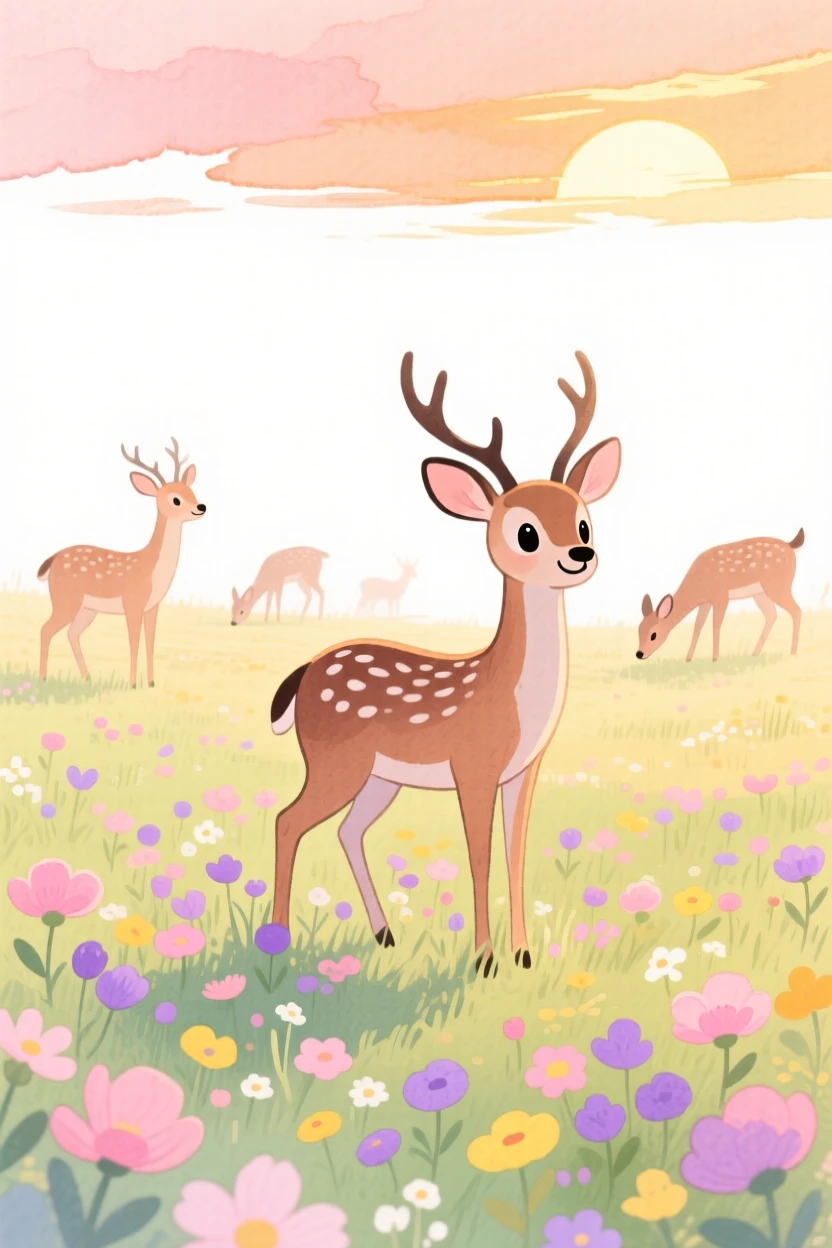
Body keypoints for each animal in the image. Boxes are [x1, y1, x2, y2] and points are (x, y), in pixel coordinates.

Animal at [37, 439, 205, 688]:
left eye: (191, 491)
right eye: (176, 499)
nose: (201, 507)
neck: (151, 569)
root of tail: (52, 560)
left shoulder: (152, 606)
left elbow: (150, 640)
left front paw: (151, 683)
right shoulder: (132, 602)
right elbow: (134, 641)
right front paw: (133, 684)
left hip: (86, 608)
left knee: (72, 633)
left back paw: (87, 677)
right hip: (65, 599)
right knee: (45, 629)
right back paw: (43, 678)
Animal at [268, 349, 621, 976]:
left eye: (584, 520)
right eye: (526, 532)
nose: (581, 553)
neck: (511, 697)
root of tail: (303, 674)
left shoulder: (525, 769)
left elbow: (515, 852)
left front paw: (524, 954)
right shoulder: (473, 765)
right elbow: (479, 855)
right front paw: (484, 960)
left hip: (379, 776)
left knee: (347, 831)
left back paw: (384, 933)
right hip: (334, 760)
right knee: (289, 820)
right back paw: (279, 940)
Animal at [637, 530, 804, 663]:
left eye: (653, 635)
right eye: (639, 630)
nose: (639, 653)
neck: (698, 585)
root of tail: (790, 546)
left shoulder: (720, 596)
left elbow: (715, 625)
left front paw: (715, 657)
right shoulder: (705, 602)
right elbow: (698, 625)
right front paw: (688, 658)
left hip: (778, 585)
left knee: (796, 610)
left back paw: (793, 652)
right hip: (760, 593)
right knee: (772, 614)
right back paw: (755, 653)